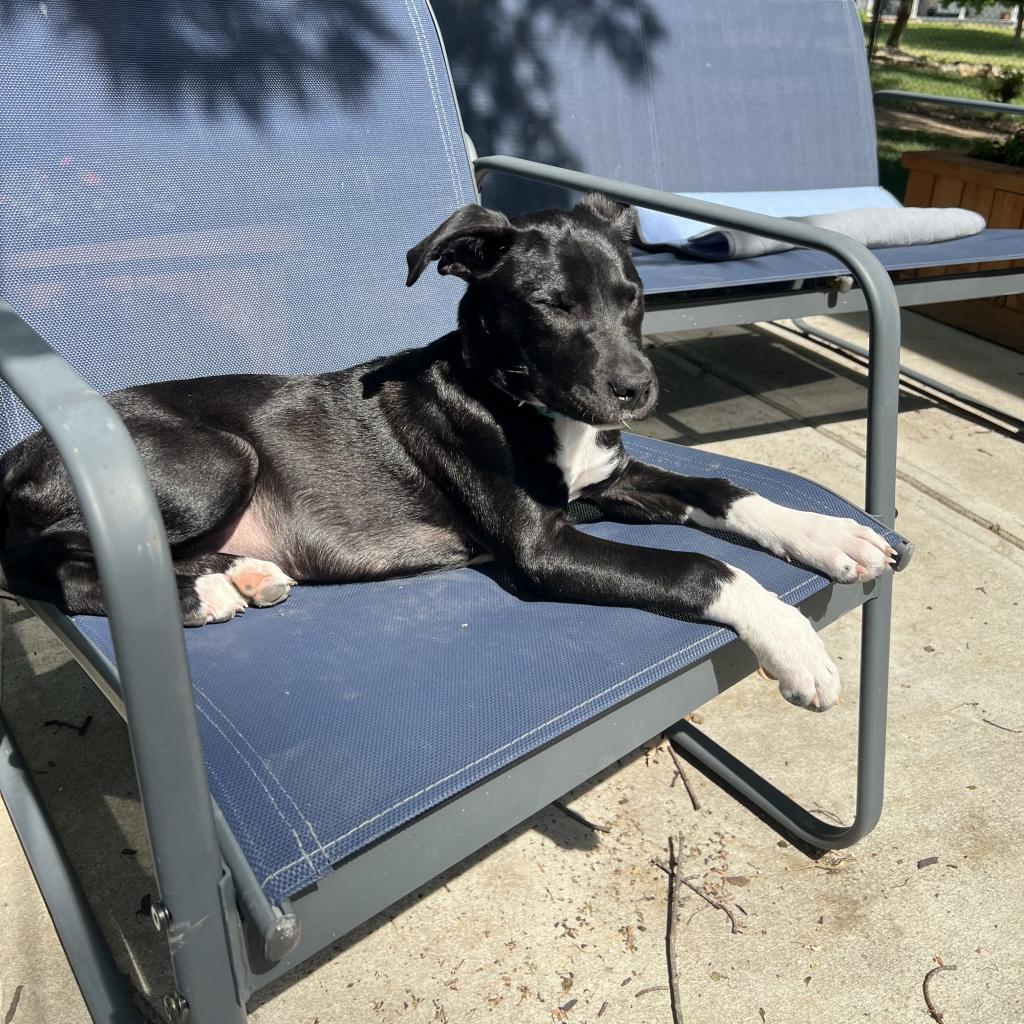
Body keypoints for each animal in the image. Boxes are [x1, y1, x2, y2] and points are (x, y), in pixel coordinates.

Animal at [0, 195, 892, 716]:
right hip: (220, 459)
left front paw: (832, 534)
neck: (516, 398)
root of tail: (18, 454)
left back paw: (239, 575)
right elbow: (703, 568)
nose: (638, 390)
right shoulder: (541, 549)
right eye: (552, 306)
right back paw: (202, 596)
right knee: (54, 566)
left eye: (633, 296)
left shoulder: (614, 480)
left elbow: (723, 487)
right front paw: (795, 644)